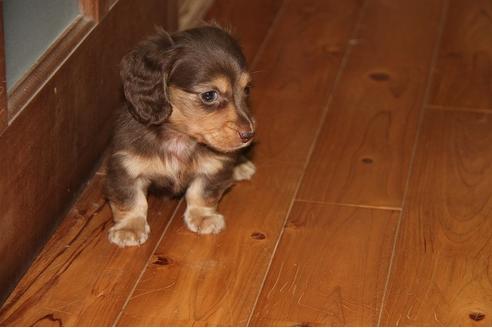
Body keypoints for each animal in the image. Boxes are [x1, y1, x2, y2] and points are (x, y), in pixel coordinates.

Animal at [105, 26, 256, 246]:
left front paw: (203, 216)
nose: (249, 135)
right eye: (209, 95)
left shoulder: (214, 164)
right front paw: (129, 228)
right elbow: (131, 199)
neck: (179, 136)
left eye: (246, 89)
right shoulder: (125, 166)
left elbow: (200, 192)